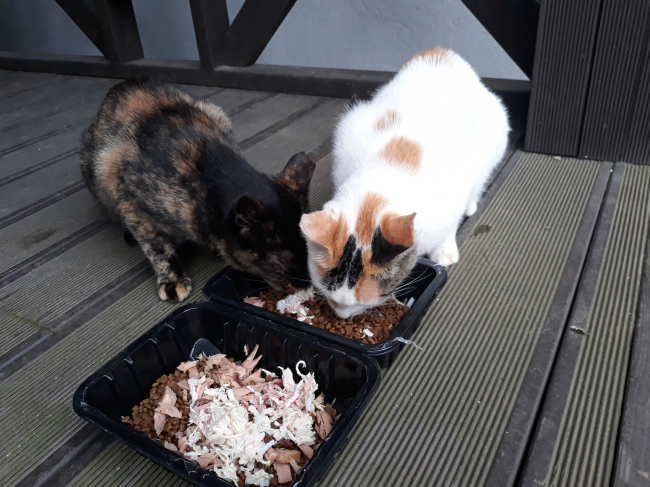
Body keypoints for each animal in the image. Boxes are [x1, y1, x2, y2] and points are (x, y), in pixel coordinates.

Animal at [80, 78, 315, 302]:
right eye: (281, 261)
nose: (306, 284)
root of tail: (122, 84)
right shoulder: (130, 200)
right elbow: (158, 248)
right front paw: (172, 280)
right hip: (97, 168)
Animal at [300, 48, 509, 318]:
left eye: (373, 299)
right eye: (326, 292)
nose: (342, 316)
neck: (386, 167)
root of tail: (440, 51)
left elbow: (451, 224)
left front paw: (444, 250)